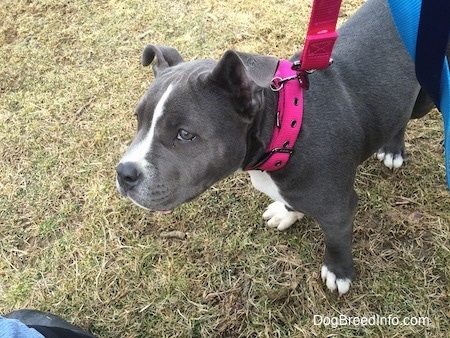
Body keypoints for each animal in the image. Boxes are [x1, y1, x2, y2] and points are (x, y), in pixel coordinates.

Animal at [115, 0, 440, 294]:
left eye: (184, 134)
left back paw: (393, 148)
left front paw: (339, 272)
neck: (287, 130)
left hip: (423, 100)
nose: (124, 173)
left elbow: (336, 239)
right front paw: (287, 212)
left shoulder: (339, 209)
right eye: (138, 119)